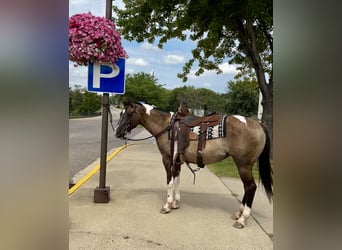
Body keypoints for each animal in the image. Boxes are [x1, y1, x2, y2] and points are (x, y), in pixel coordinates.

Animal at [115, 102, 272, 229]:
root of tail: (258, 124)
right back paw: (238, 213)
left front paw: (167, 206)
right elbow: (177, 180)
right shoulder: (177, 161)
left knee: (250, 187)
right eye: (121, 113)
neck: (166, 126)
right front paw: (175, 203)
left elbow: (169, 182)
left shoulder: (167, 159)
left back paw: (242, 219)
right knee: (246, 187)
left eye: (128, 113)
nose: (117, 132)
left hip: (243, 165)